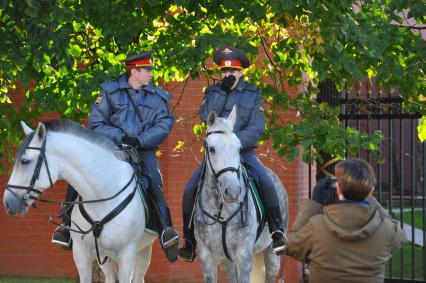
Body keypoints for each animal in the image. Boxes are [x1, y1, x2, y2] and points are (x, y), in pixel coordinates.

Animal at [3, 120, 156, 283]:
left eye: (25, 161)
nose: (8, 202)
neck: (102, 199)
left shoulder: (127, 255)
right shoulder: (81, 253)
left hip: (143, 251)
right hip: (106, 257)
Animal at [194, 107, 290, 283]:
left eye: (239, 148)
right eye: (211, 149)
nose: (232, 190)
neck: (222, 210)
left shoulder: (244, 255)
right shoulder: (207, 256)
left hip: (271, 253)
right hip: (227, 261)